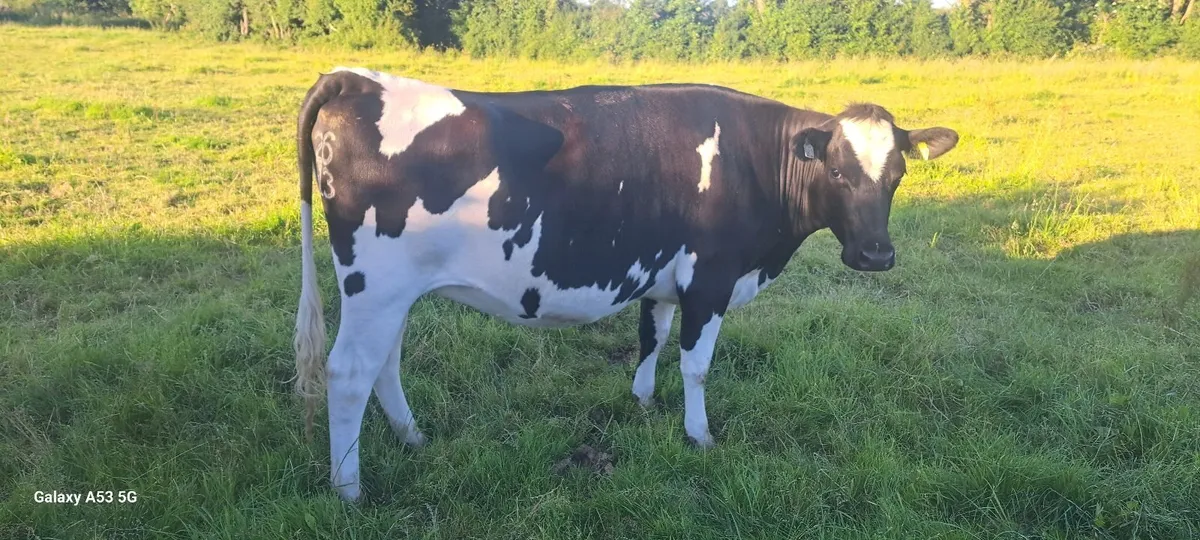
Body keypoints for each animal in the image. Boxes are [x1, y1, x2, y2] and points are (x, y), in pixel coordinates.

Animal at [292, 67, 959, 501]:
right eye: (839, 172)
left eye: (897, 175)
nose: (875, 255)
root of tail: (358, 78)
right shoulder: (711, 277)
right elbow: (696, 364)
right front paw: (698, 435)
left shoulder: (663, 275)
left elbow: (651, 337)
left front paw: (641, 401)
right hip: (375, 284)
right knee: (349, 373)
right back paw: (349, 490)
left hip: (394, 291)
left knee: (384, 364)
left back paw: (413, 438)